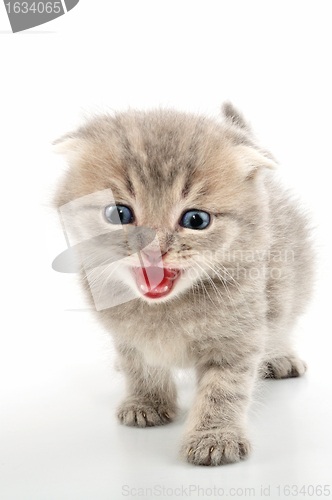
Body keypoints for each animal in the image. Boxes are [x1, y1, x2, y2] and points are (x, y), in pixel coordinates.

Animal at [53, 103, 316, 466]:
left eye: (196, 220)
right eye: (119, 214)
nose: (153, 250)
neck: (166, 310)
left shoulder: (239, 335)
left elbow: (224, 388)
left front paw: (214, 437)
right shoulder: (128, 334)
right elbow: (140, 364)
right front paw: (147, 402)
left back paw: (280, 357)